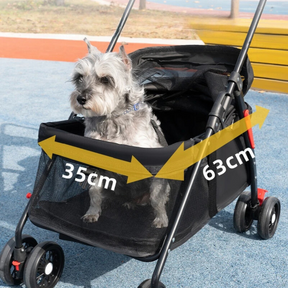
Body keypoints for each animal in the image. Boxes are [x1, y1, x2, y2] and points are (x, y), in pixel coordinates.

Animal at [69, 38, 169, 227]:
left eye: (106, 79)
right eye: (79, 77)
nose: (80, 98)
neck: (112, 118)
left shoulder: (154, 166)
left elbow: (156, 197)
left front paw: (161, 218)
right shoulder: (96, 164)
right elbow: (94, 193)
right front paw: (92, 213)